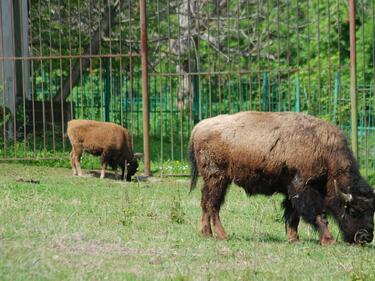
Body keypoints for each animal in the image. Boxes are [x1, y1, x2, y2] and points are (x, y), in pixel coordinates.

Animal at [191, 110, 375, 244]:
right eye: (354, 210)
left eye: (371, 210)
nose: (366, 238)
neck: (326, 154)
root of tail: (198, 127)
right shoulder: (303, 187)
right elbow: (317, 214)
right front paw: (328, 240)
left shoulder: (291, 191)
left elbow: (293, 215)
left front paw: (294, 239)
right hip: (218, 179)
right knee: (213, 205)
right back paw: (223, 236)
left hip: (212, 180)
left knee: (205, 204)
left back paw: (206, 234)